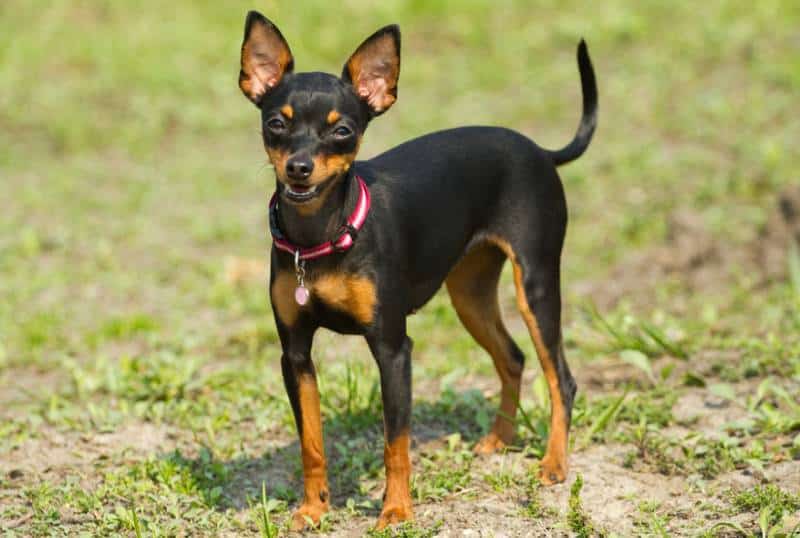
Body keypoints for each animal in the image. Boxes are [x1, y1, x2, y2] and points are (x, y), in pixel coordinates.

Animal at [234, 10, 596, 528]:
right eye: (276, 124)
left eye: (342, 131)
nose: (299, 168)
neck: (321, 237)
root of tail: (540, 151)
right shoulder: (296, 356)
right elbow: (311, 443)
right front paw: (313, 508)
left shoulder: (392, 349)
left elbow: (396, 443)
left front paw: (396, 511)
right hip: (469, 294)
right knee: (512, 357)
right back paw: (498, 440)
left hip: (536, 285)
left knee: (560, 377)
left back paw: (554, 463)